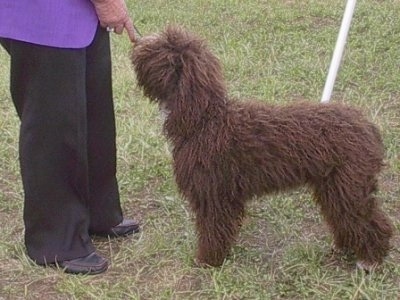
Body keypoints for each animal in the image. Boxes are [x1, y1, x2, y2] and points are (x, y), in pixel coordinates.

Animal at [130, 25, 390, 270]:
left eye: (163, 48)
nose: (138, 42)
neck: (204, 119)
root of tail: (368, 126)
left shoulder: (213, 194)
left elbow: (212, 230)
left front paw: (208, 260)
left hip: (349, 186)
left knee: (371, 221)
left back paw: (370, 260)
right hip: (332, 186)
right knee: (344, 218)